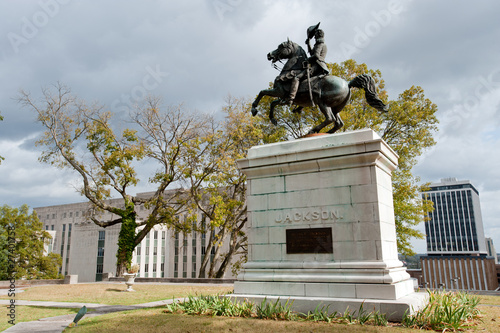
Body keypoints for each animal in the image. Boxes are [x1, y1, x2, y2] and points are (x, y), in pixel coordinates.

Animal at [252, 40, 388, 134]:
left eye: (281, 46)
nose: (269, 55)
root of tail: (348, 83)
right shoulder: (282, 97)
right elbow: (272, 103)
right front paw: (273, 120)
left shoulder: (279, 91)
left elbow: (262, 92)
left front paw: (254, 109)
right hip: (336, 107)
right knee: (339, 123)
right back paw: (327, 133)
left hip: (323, 103)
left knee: (330, 119)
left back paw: (313, 130)